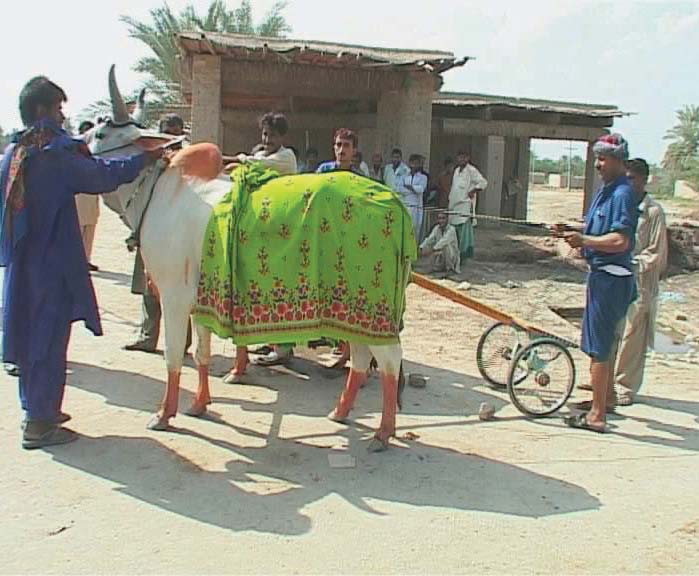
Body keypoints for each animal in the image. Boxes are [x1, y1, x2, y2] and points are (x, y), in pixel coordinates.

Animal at [88, 64, 404, 450]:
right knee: (361, 355)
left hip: (373, 306)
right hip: (353, 311)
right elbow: (202, 353)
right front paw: (199, 404)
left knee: (389, 360)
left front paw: (164, 414)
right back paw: (340, 412)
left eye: (101, 132)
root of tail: (394, 204)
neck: (161, 193)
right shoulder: (202, 302)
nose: (77, 144)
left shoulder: (175, 298)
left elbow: (174, 356)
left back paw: (383, 432)